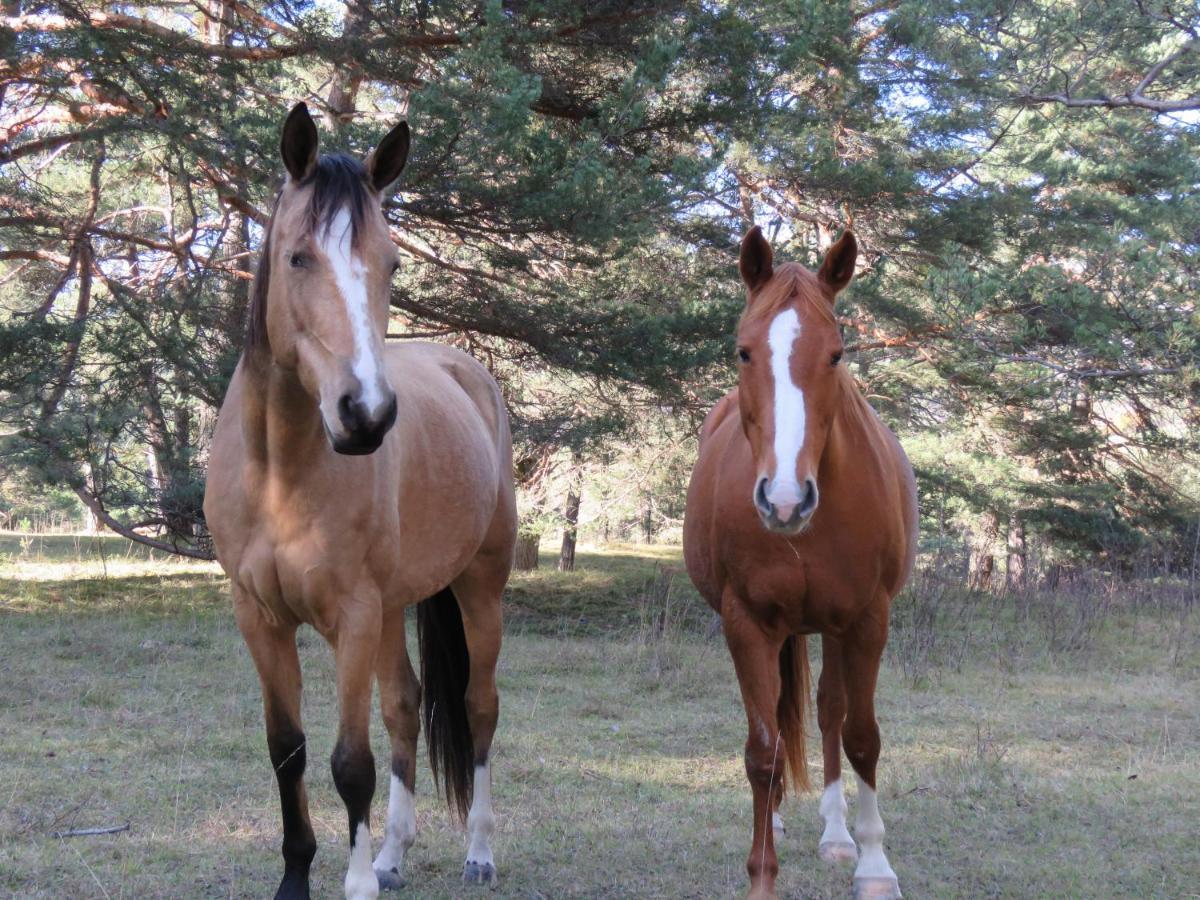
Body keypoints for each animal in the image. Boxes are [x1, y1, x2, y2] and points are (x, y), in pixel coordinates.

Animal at [204, 102, 513, 897]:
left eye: (392, 262)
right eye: (298, 258)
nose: (366, 414)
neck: (281, 473)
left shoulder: (352, 615)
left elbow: (351, 763)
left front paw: (356, 884)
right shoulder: (260, 618)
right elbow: (289, 749)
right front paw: (299, 878)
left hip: (479, 588)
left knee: (480, 708)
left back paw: (479, 852)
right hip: (397, 605)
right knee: (405, 708)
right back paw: (394, 853)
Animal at [686, 226, 916, 900]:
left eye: (836, 354)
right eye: (743, 352)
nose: (785, 499)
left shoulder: (867, 621)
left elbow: (861, 736)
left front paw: (874, 865)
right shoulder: (748, 623)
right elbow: (762, 749)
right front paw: (763, 875)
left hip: (835, 630)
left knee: (830, 713)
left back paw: (839, 835)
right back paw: (783, 819)